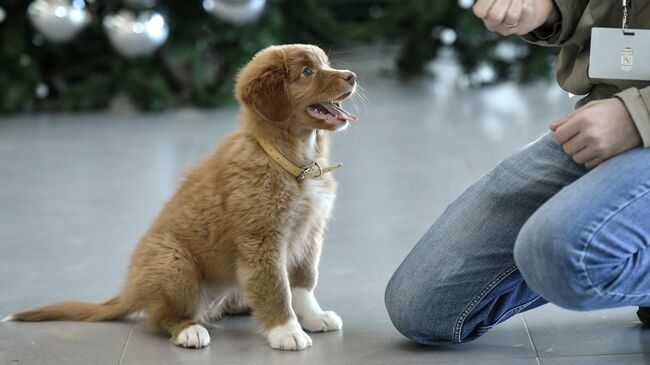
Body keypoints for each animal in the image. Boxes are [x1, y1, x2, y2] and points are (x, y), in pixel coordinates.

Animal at [2, 44, 356, 352]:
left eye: (325, 64)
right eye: (308, 72)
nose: (351, 75)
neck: (294, 162)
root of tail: (132, 289)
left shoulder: (310, 233)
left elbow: (303, 281)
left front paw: (312, 316)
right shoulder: (262, 240)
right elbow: (276, 288)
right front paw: (286, 330)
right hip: (175, 263)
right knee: (160, 318)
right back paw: (189, 330)